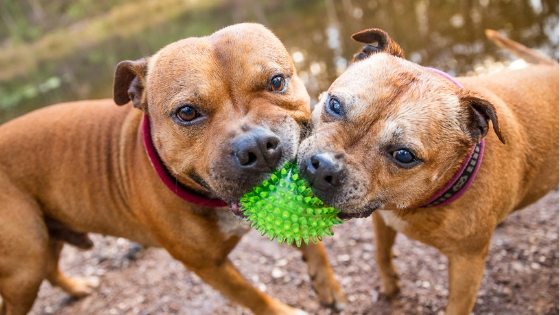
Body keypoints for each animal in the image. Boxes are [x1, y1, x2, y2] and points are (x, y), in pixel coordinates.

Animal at [0, 24, 346, 315]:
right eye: (187, 112)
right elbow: (252, 296)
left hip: (46, 236)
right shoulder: (210, 268)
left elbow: (313, 242)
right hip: (25, 266)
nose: (258, 146)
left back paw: (77, 287)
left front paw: (327, 284)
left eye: (276, 82)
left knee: (50, 266)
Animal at [298, 27, 556, 315]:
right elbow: (381, 254)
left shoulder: (467, 266)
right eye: (335, 105)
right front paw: (390, 287)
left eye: (404, 155)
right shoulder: (383, 220)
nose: (324, 167)